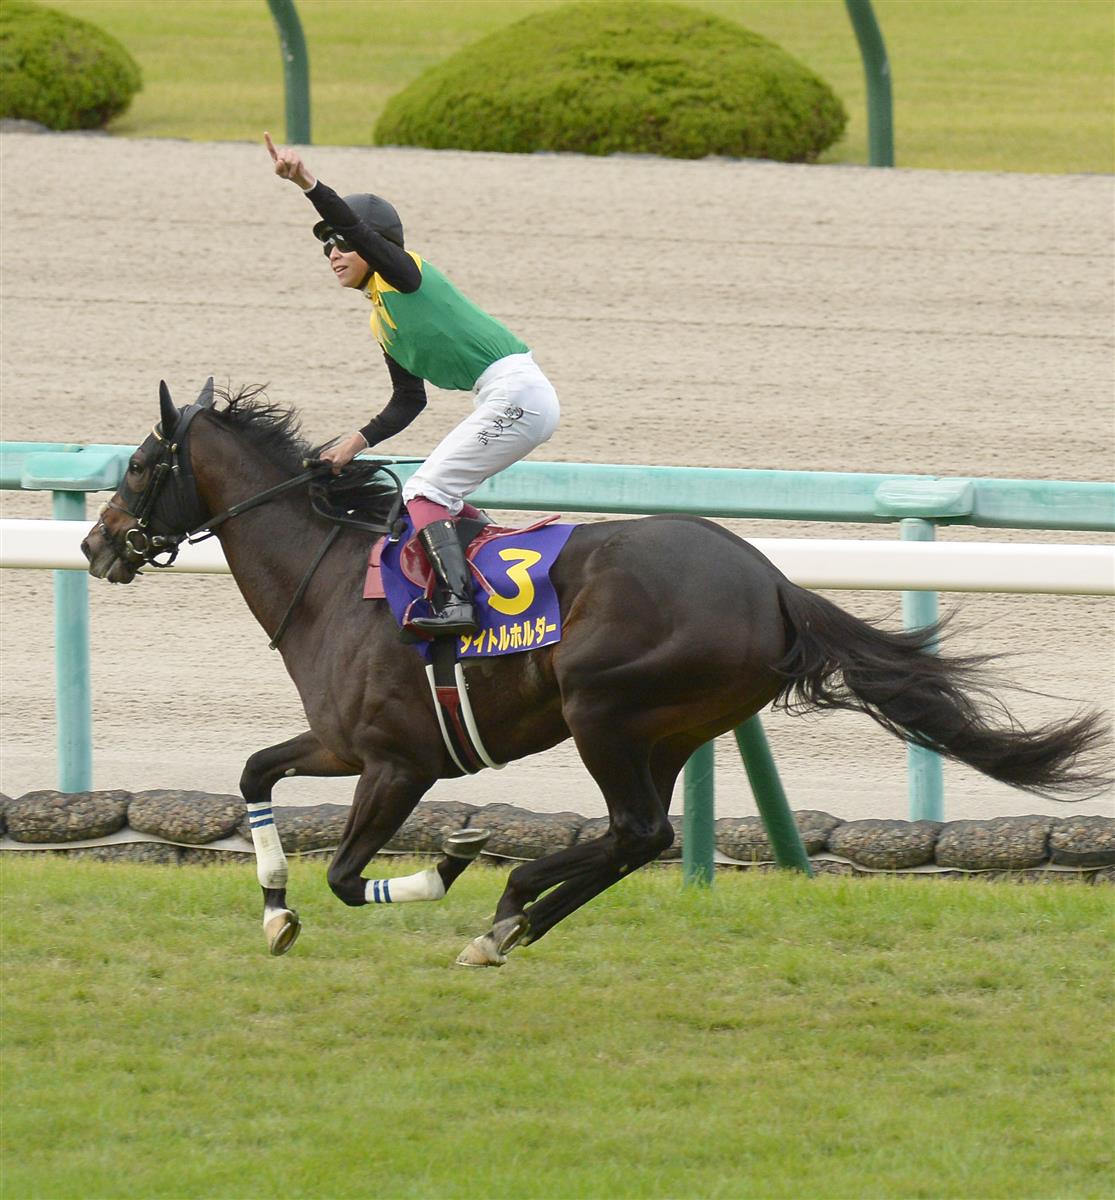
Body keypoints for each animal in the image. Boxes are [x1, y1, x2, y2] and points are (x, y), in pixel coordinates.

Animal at [82, 380, 1108, 965]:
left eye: (138, 464)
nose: (95, 544)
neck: (330, 577)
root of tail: (773, 583)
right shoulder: (342, 742)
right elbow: (256, 773)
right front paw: (272, 914)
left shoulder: (398, 762)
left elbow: (344, 874)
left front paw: (445, 863)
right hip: (671, 726)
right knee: (637, 837)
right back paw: (514, 924)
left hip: (602, 705)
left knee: (636, 830)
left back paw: (506, 905)